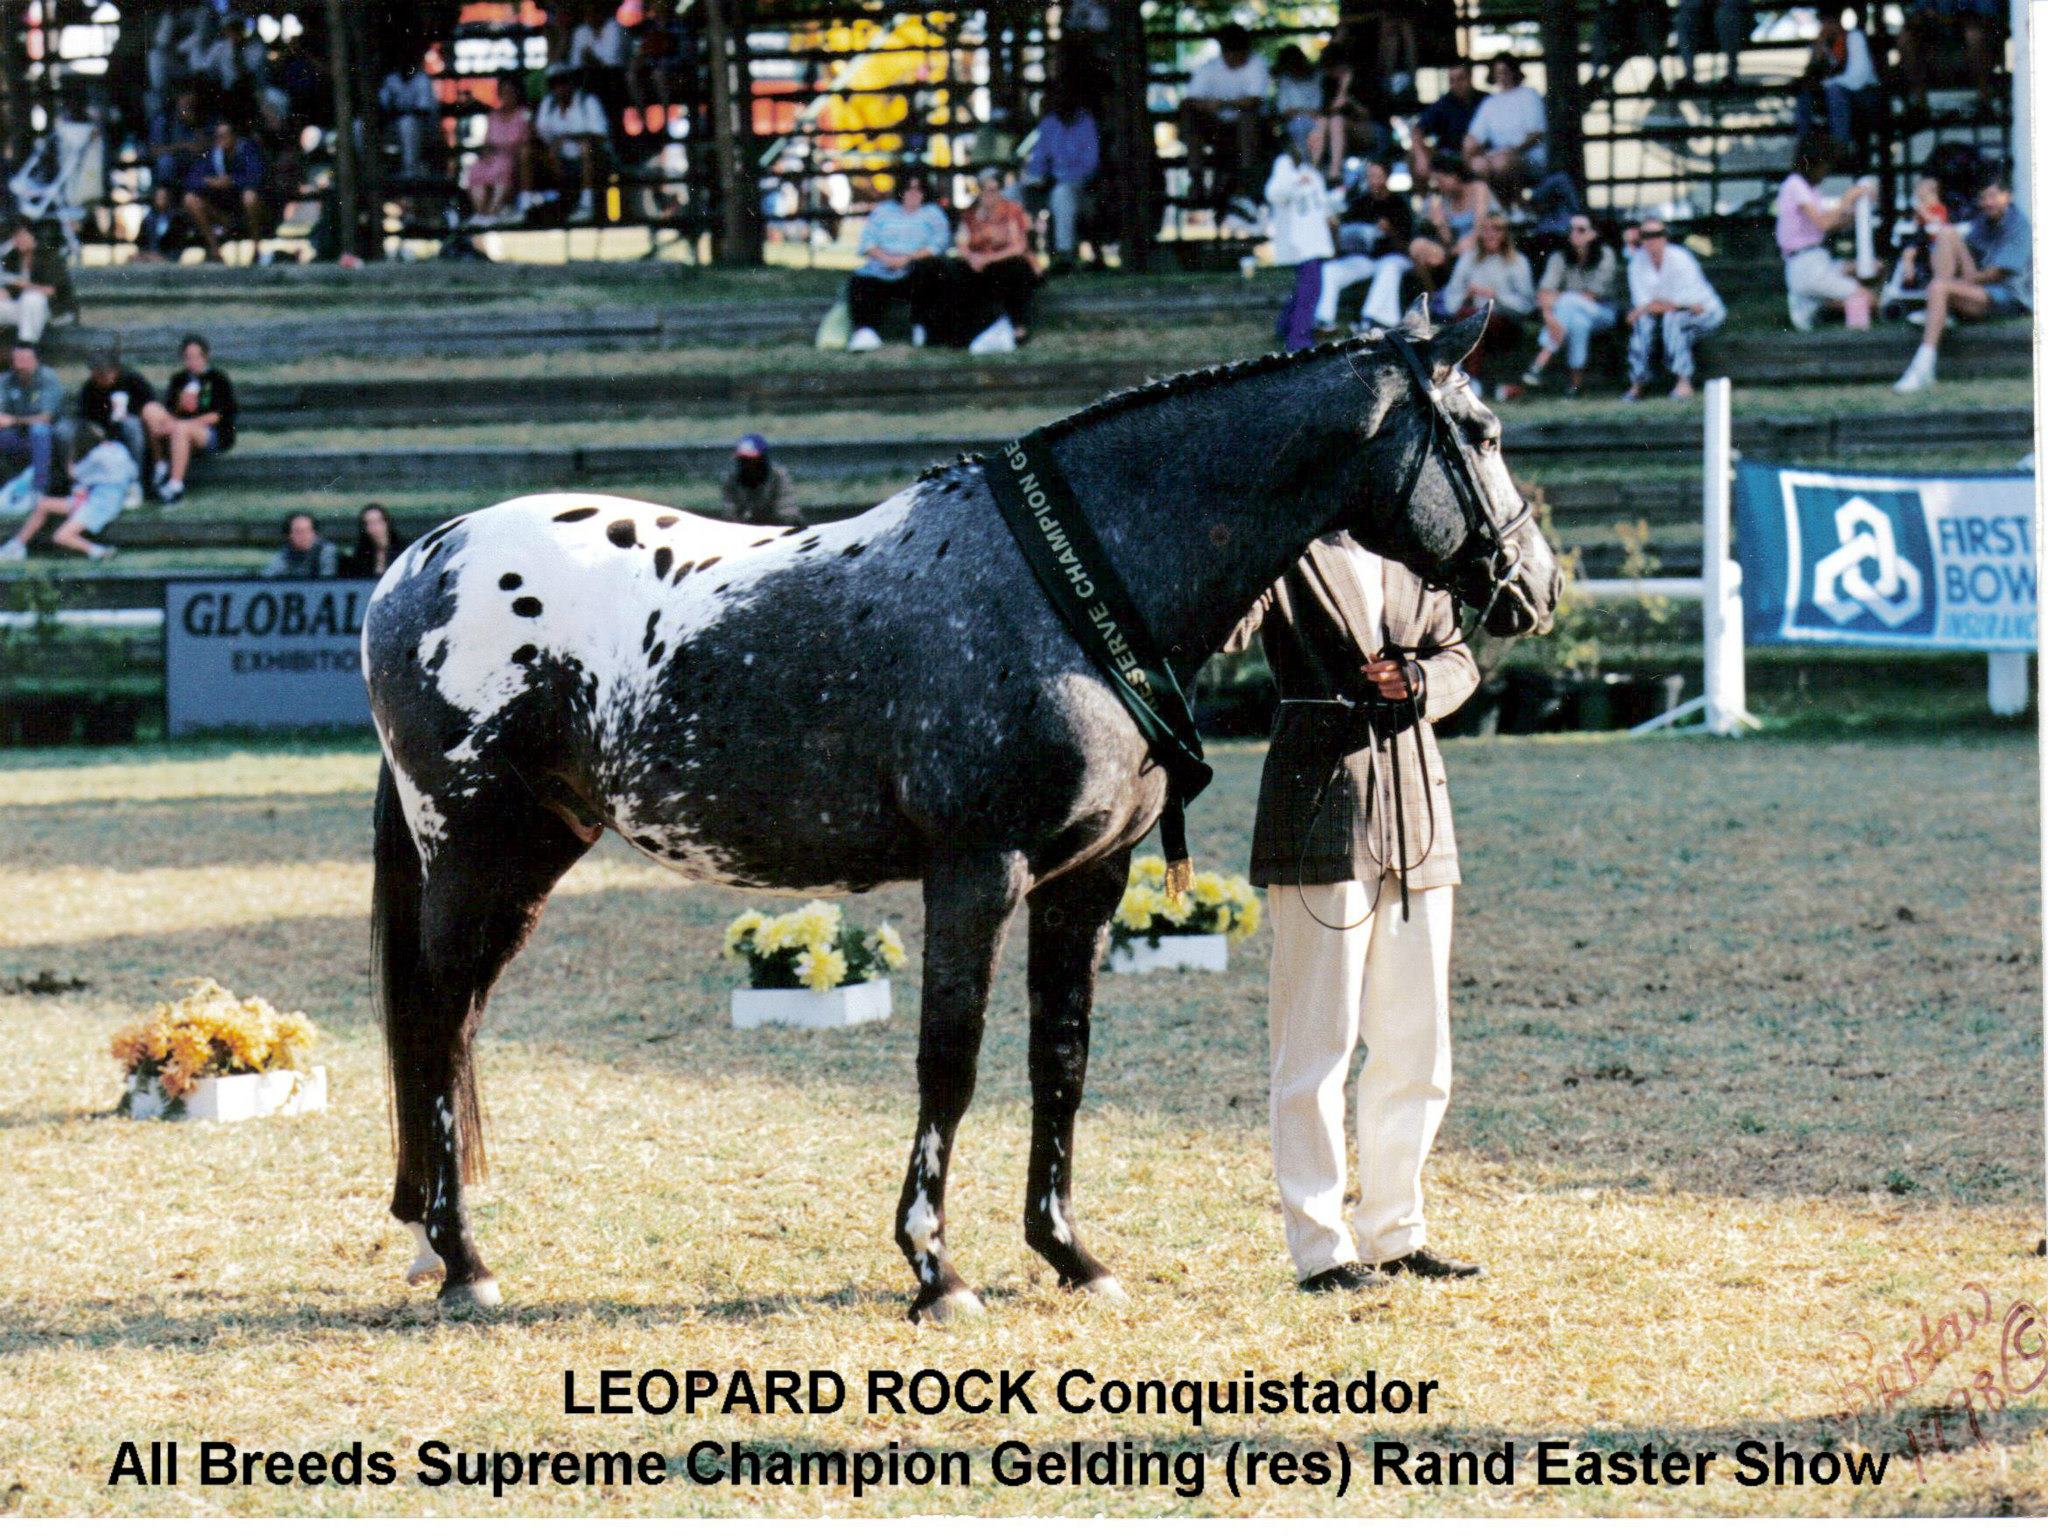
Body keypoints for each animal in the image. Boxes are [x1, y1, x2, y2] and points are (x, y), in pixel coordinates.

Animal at [360, 309, 1556, 1327]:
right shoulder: (978, 872)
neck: (1074, 588)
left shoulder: (1087, 879)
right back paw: (463, 1263)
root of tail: (415, 562)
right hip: (474, 851)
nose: (1535, 587)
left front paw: (1070, 1255)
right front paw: (936, 1270)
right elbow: (952, 1059)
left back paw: (433, 1244)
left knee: (450, 1031)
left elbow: (1059, 1060)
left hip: (533, 853)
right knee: (436, 1021)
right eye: (1482, 432)